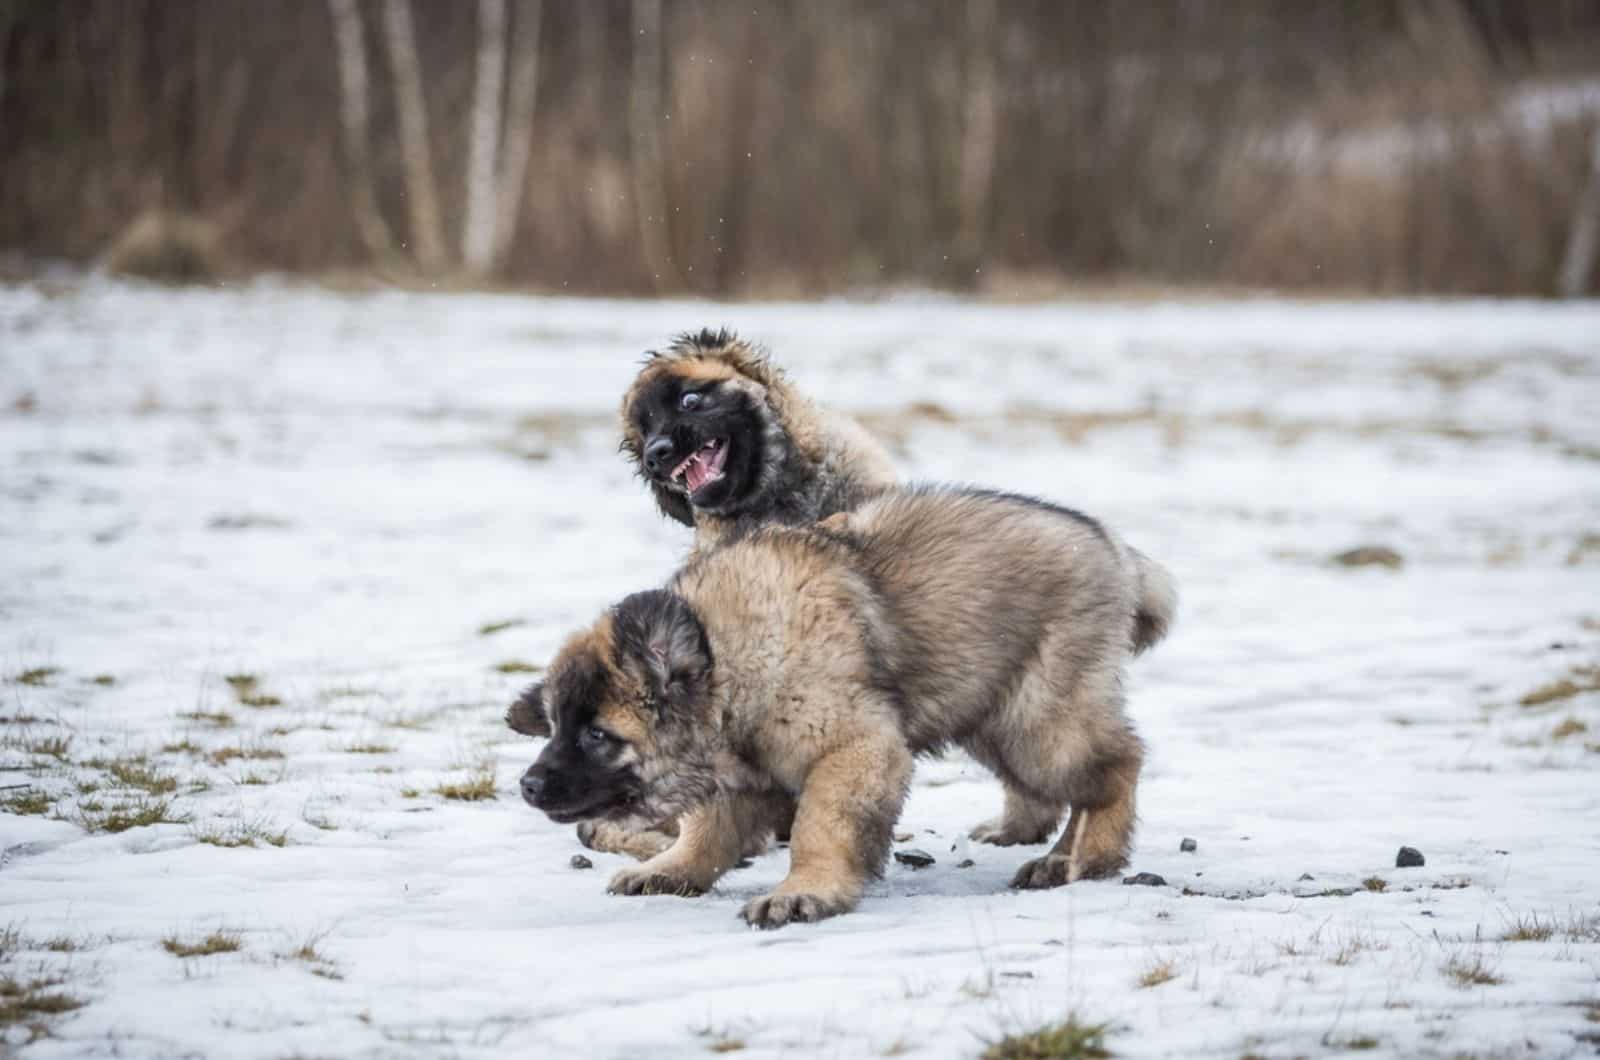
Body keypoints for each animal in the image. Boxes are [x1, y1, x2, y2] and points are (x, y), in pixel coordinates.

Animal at [518, 486, 1171, 928]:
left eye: (597, 735)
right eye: (554, 725)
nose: (527, 784)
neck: (732, 658)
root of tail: (1113, 547)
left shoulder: (853, 749)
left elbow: (821, 827)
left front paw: (804, 891)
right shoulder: (735, 770)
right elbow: (707, 831)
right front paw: (671, 870)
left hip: (1037, 720)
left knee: (1116, 765)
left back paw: (1084, 858)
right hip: (990, 710)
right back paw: (1031, 840)